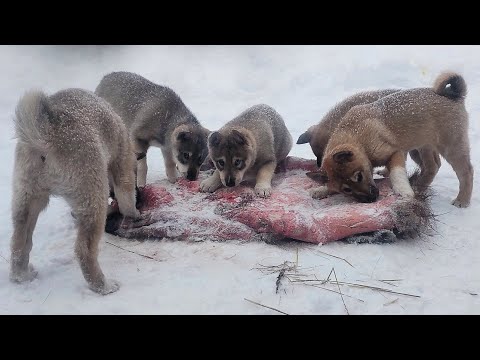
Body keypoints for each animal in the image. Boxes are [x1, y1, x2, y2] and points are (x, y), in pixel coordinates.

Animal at [10, 88, 140, 296]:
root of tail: (47, 133)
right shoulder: (123, 166)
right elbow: (127, 199)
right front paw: (135, 214)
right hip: (93, 196)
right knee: (84, 250)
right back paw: (103, 286)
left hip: (27, 198)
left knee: (19, 243)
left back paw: (21, 276)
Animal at [316, 71, 472, 208]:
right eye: (346, 189)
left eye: (359, 176)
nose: (371, 199)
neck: (357, 137)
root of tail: (454, 95)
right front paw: (320, 190)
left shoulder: (396, 152)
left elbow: (397, 173)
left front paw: (404, 190)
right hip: (423, 145)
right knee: (433, 166)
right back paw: (419, 184)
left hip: (451, 147)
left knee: (466, 171)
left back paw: (462, 200)